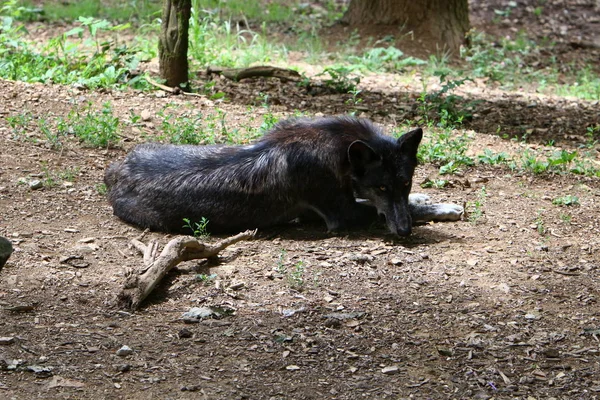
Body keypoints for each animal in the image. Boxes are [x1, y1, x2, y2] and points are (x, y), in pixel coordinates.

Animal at [104, 115, 464, 234]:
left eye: (404, 182)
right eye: (381, 187)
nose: (404, 232)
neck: (338, 149)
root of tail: (114, 170)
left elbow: (412, 202)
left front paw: (429, 198)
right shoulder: (342, 215)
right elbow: (392, 209)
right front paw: (445, 208)